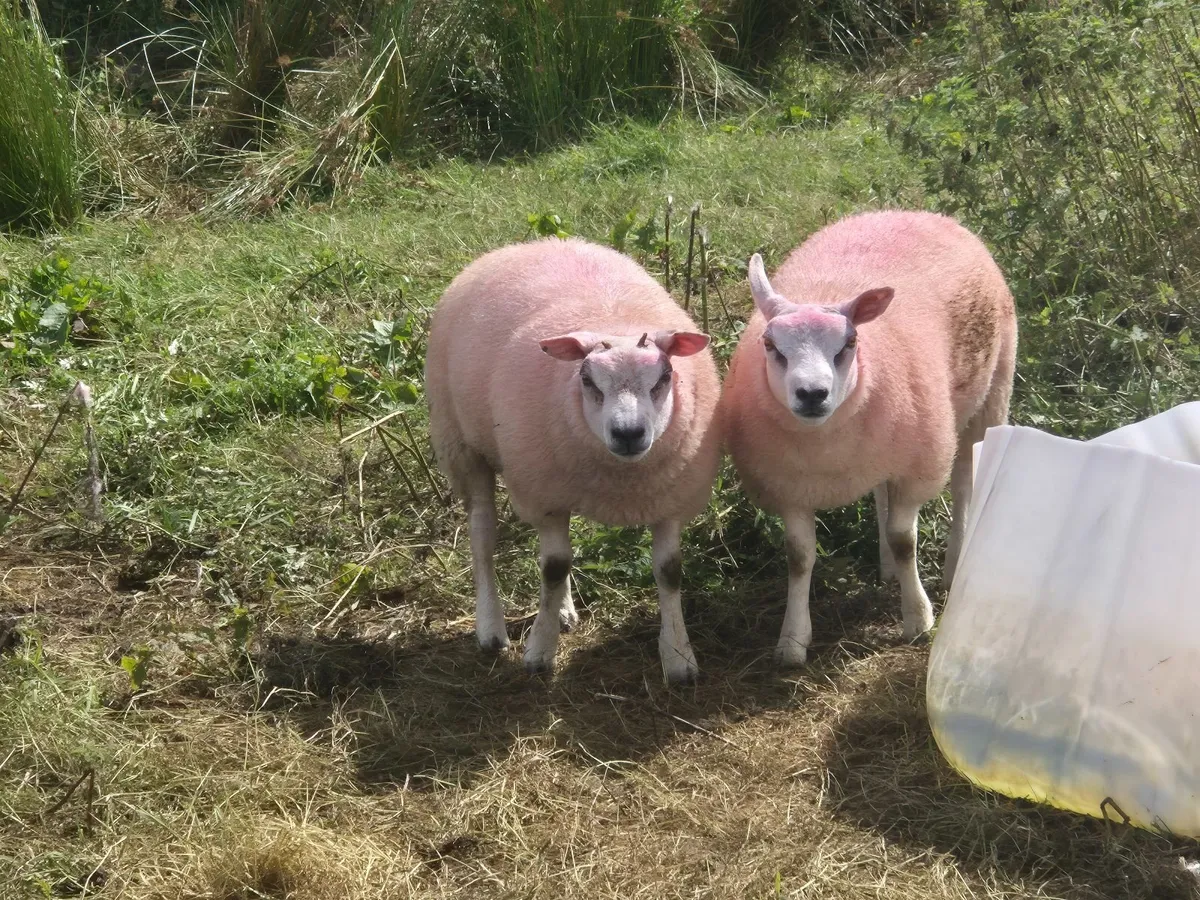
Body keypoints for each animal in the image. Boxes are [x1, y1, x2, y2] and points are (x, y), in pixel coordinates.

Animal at [425, 236, 723, 683]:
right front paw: (539, 652)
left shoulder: (670, 500)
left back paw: (563, 610)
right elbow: (553, 567)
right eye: (586, 379)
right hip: (461, 444)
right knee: (483, 536)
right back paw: (491, 627)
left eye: (665, 376)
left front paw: (679, 658)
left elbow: (669, 571)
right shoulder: (543, 496)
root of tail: (532, 243)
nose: (629, 433)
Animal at [720, 210, 1017, 665]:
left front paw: (918, 619)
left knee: (966, 482)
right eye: (770, 344)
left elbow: (904, 539)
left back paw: (954, 562)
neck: (826, 448)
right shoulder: (789, 488)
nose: (812, 394)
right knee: (881, 492)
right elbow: (799, 558)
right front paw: (792, 640)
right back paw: (887, 568)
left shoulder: (917, 468)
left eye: (850, 342)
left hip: (988, 397)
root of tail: (916, 213)